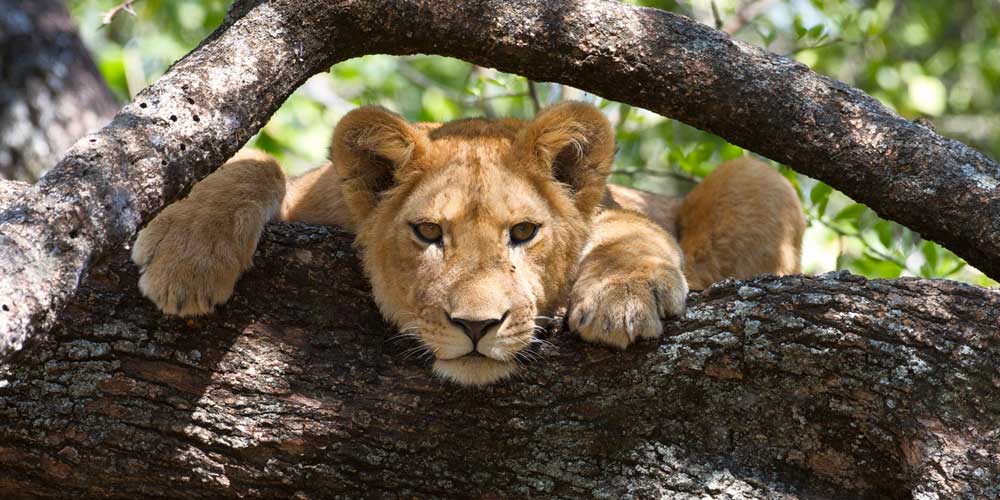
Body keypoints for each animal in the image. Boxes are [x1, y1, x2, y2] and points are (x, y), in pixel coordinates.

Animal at [133, 100, 804, 382]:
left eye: (525, 233)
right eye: (429, 232)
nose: (477, 327)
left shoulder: (619, 212)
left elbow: (629, 229)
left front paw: (622, 296)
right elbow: (258, 163)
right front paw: (186, 256)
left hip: (759, 178)